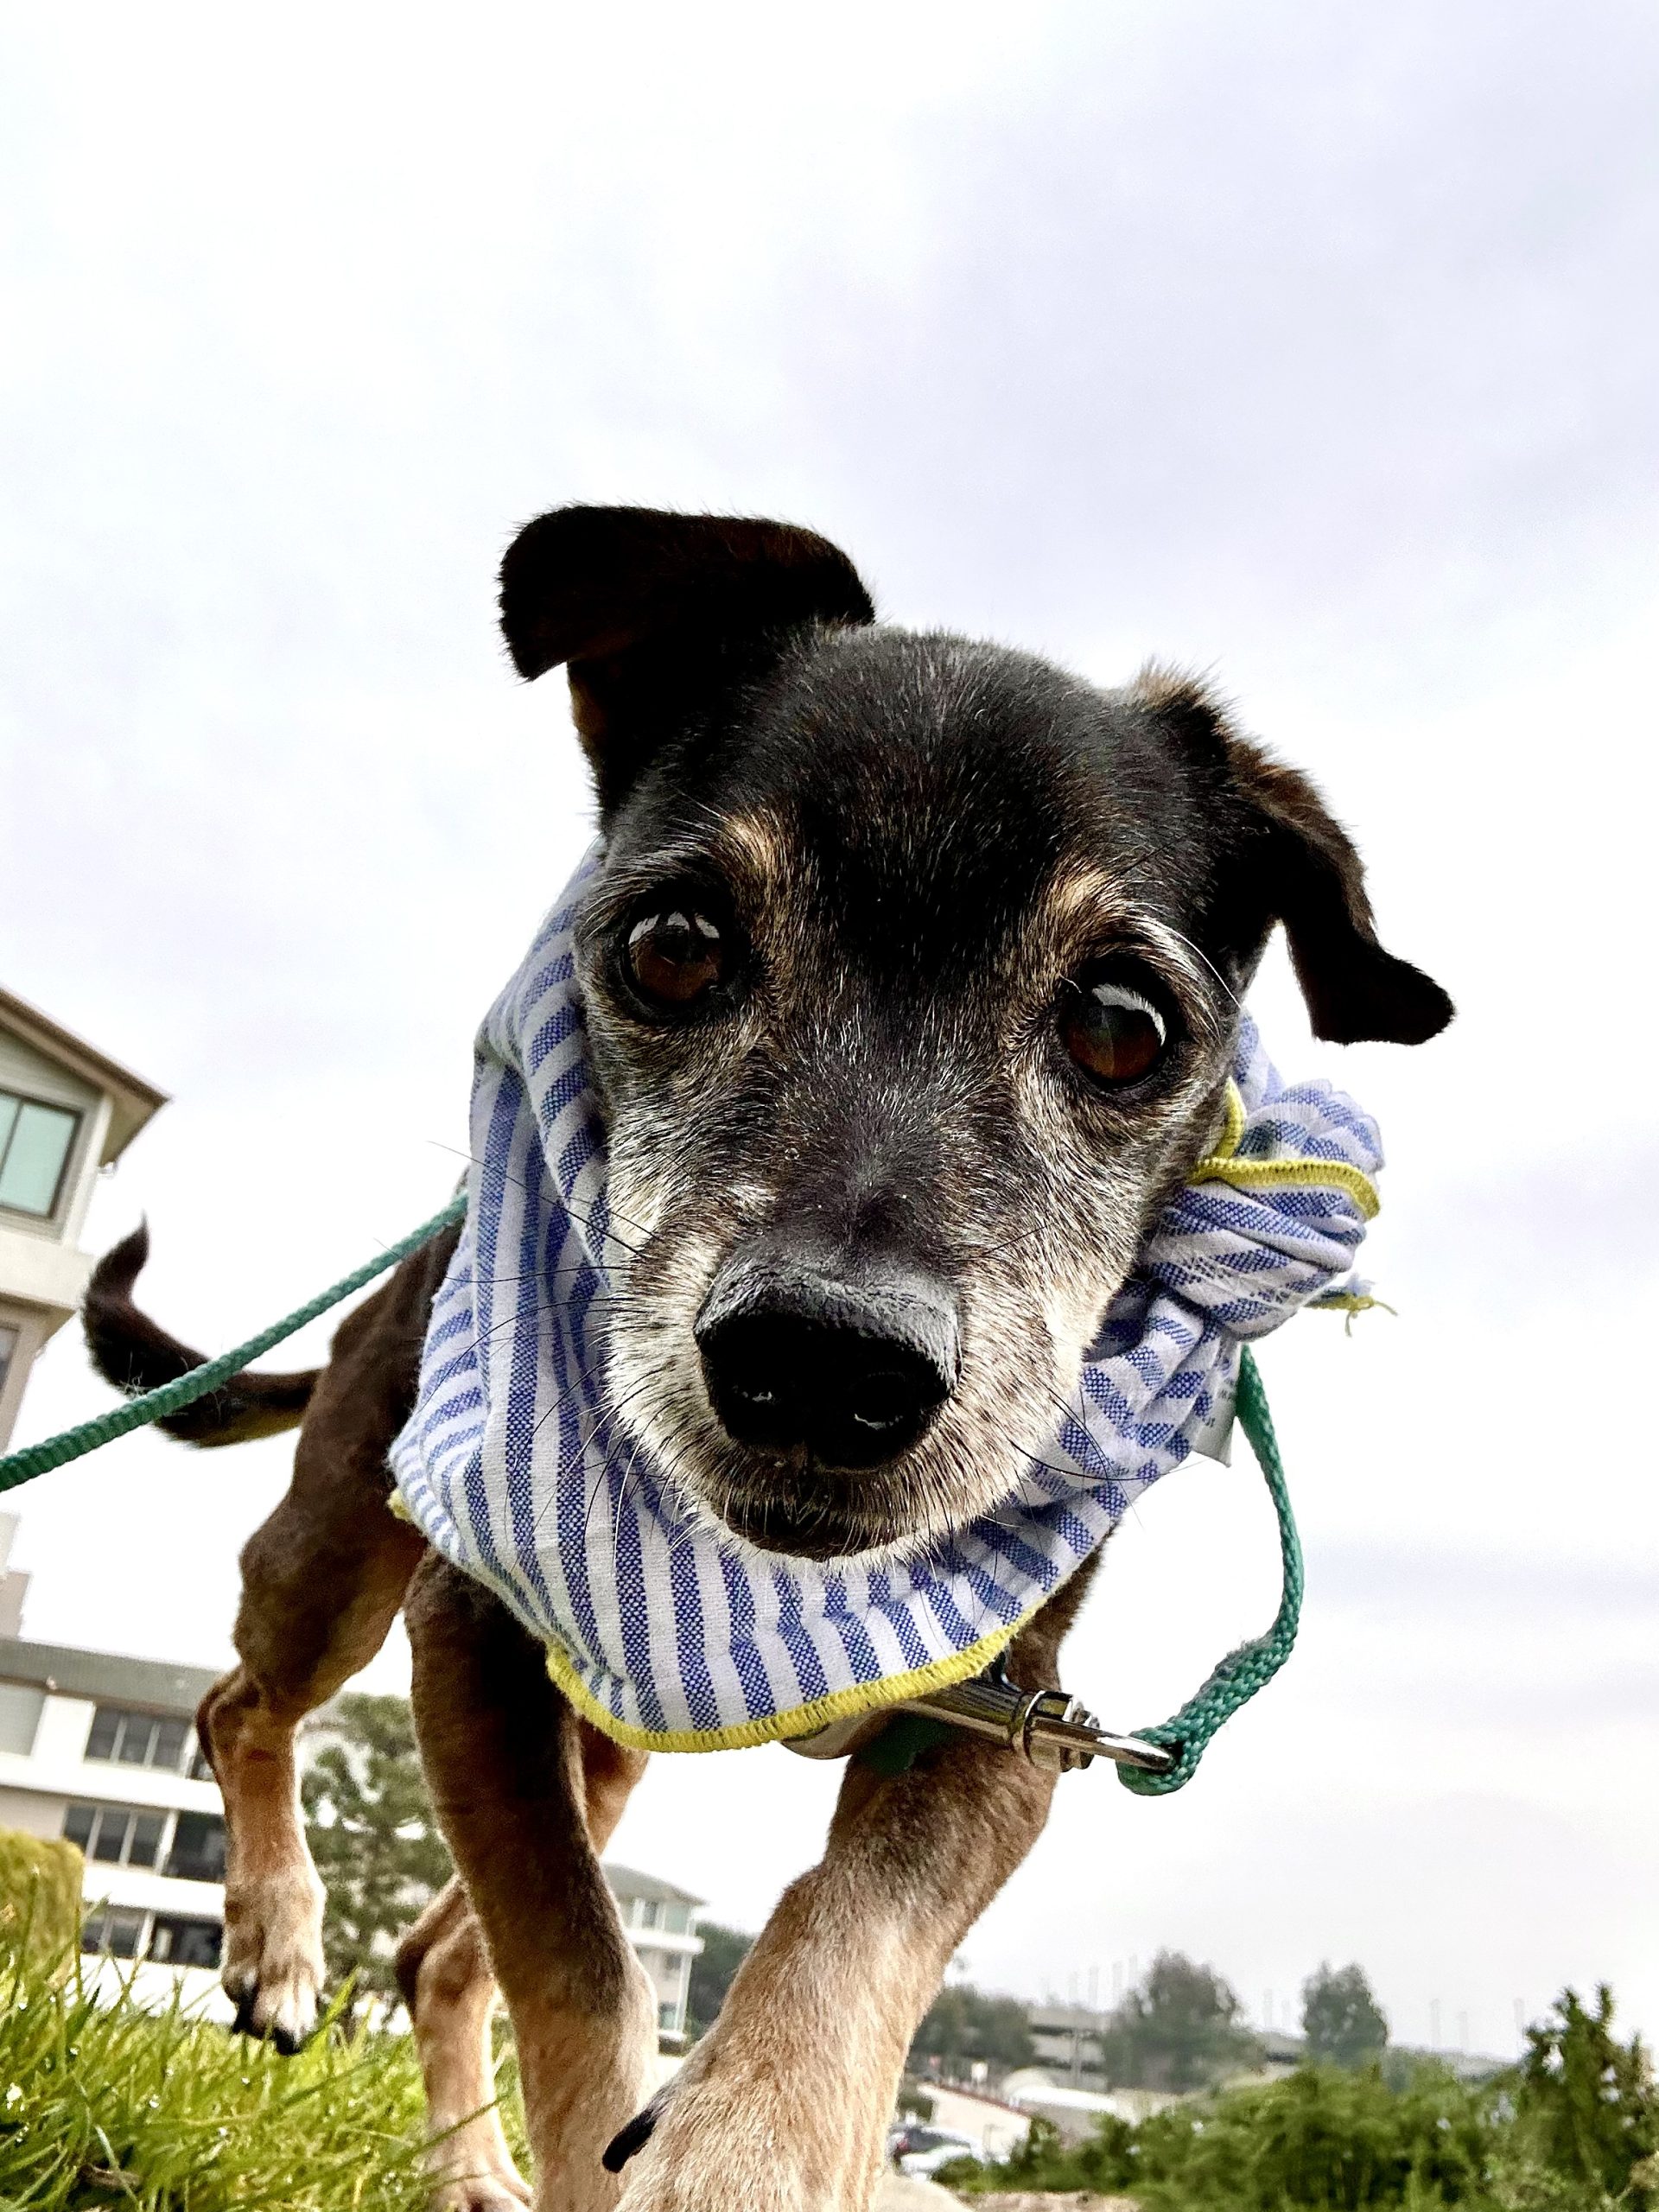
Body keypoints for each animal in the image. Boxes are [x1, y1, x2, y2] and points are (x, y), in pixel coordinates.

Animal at [84, 506, 1451, 2212]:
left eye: (1125, 1026)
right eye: (673, 946)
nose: (819, 1363)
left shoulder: (1012, 1728)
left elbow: (844, 1928)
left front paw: (755, 2146)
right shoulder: (473, 1639)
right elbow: (584, 1969)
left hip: (610, 1740)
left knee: (438, 1955)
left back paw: (467, 2167)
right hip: (344, 1556)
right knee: (241, 1710)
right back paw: (274, 1937)